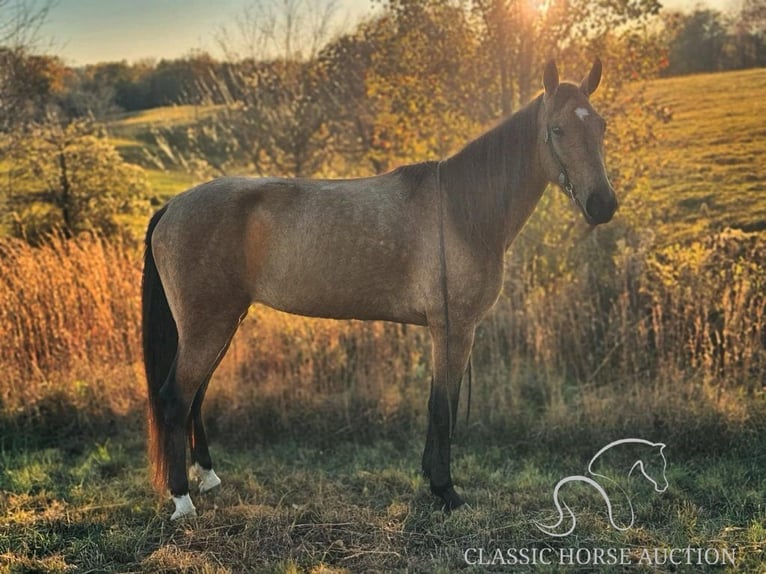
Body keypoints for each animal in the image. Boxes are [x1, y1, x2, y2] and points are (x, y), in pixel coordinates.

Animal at [144, 58, 620, 520]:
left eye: (600, 126)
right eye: (557, 129)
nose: (603, 205)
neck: (462, 212)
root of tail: (173, 205)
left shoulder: (446, 331)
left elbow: (436, 403)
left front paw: (434, 482)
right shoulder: (454, 329)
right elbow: (443, 407)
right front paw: (446, 491)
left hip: (223, 324)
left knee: (196, 396)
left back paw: (208, 478)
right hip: (208, 328)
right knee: (176, 398)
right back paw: (183, 500)